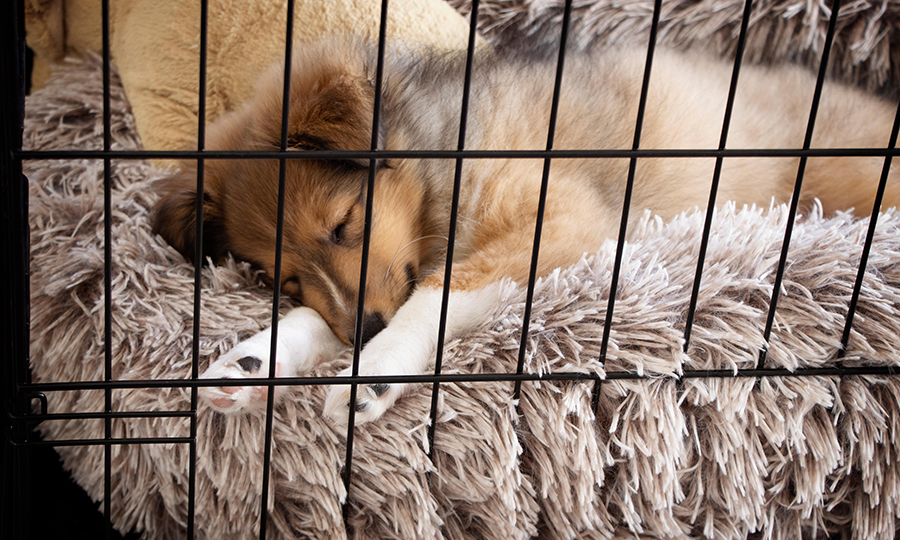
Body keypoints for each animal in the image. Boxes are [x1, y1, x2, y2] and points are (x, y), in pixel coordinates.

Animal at [151, 40, 896, 424]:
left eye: (344, 224)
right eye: (282, 276)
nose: (363, 332)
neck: (440, 160)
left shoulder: (559, 219)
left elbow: (438, 295)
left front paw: (375, 370)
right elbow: (325, 314)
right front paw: (251, 362)